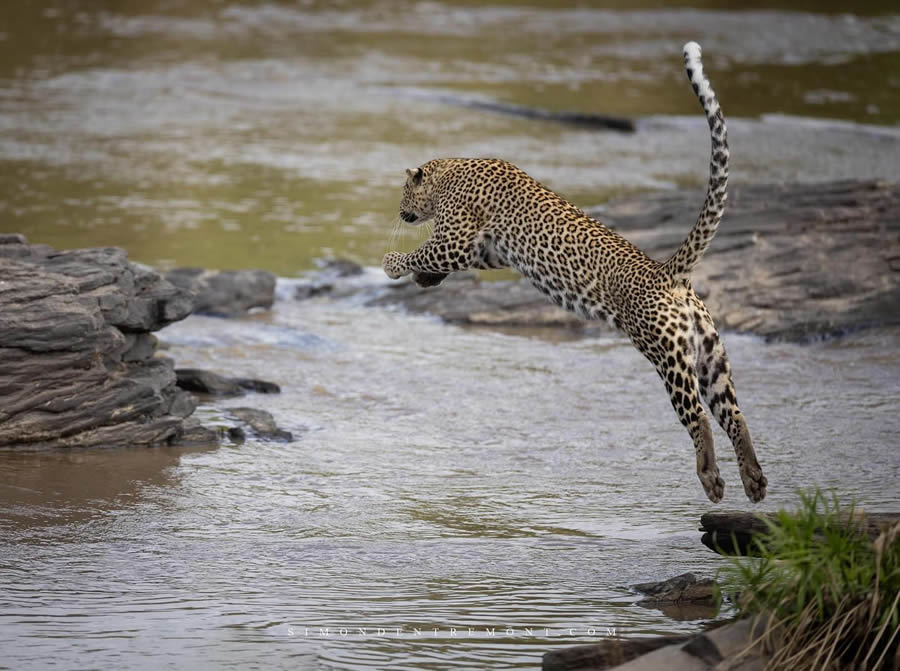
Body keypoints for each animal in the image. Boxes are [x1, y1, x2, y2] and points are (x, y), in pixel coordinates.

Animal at [380, 42, 768, 504]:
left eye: (404, 192)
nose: (400, 210)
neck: (449, 173)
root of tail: (668, 273)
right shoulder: (488, 250)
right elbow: (443, 261)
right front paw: (423, 279)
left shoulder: (456, 238)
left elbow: (422, 252)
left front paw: (392, 264)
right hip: (712, 358)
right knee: (736, 415)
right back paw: (755, 480)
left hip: (668, 355)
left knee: (699, 417)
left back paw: (712, 479)